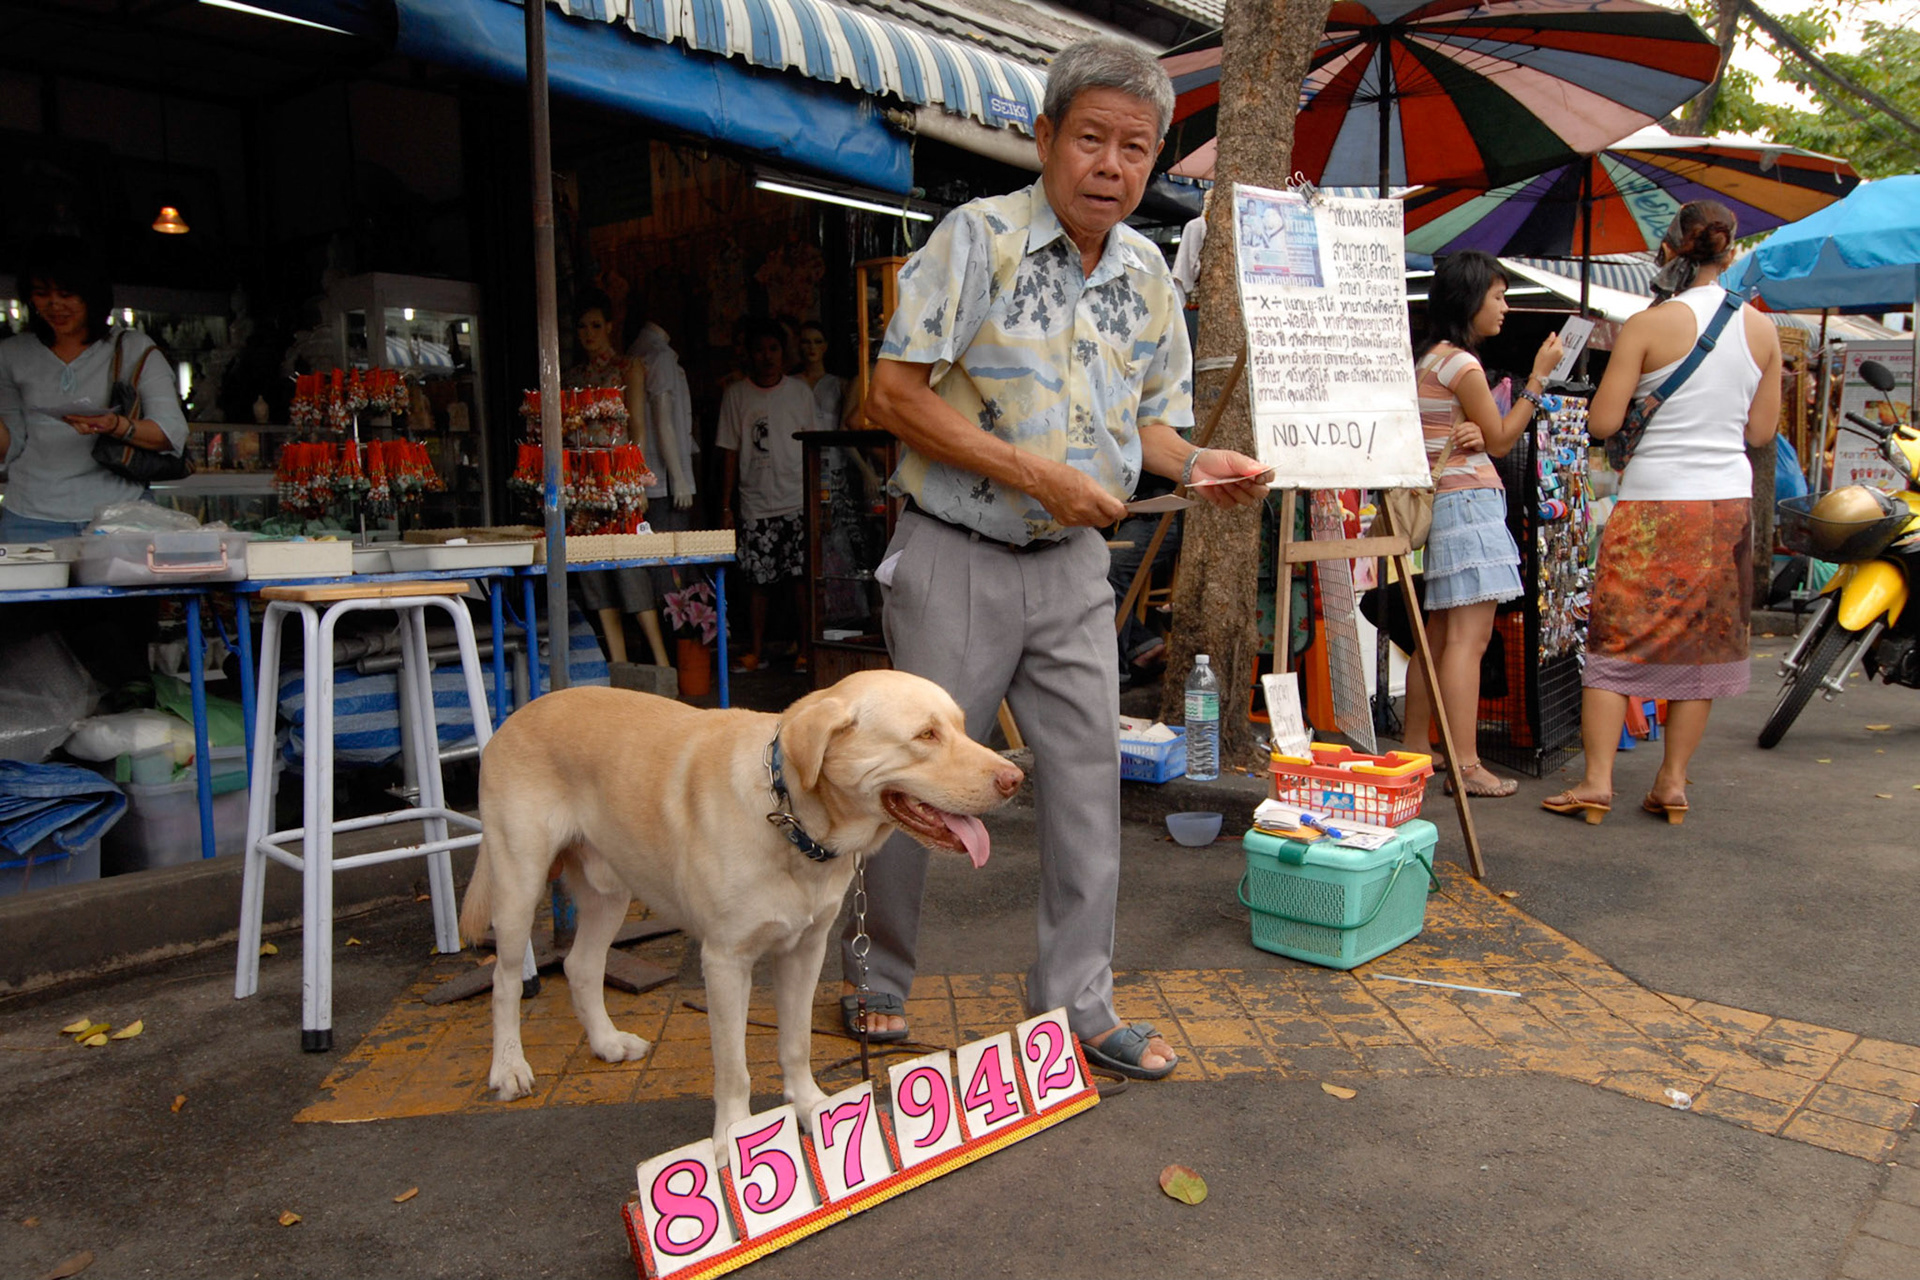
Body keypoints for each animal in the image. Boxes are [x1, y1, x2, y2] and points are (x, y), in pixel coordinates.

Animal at [459, 669, 1022, 1165]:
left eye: (962, 727)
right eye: (925, 735)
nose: (1016, 778)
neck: (792, 819)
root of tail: (519, 713)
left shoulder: (805, 949)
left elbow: (795, 1042)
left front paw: (811, 1108)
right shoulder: (726, 962)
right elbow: (734, 1069)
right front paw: (733, 1135)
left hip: (608, 888)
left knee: (581, 965)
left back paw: (605, 1042)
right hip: (518, 880)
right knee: (506, 980)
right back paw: (508, 1068)